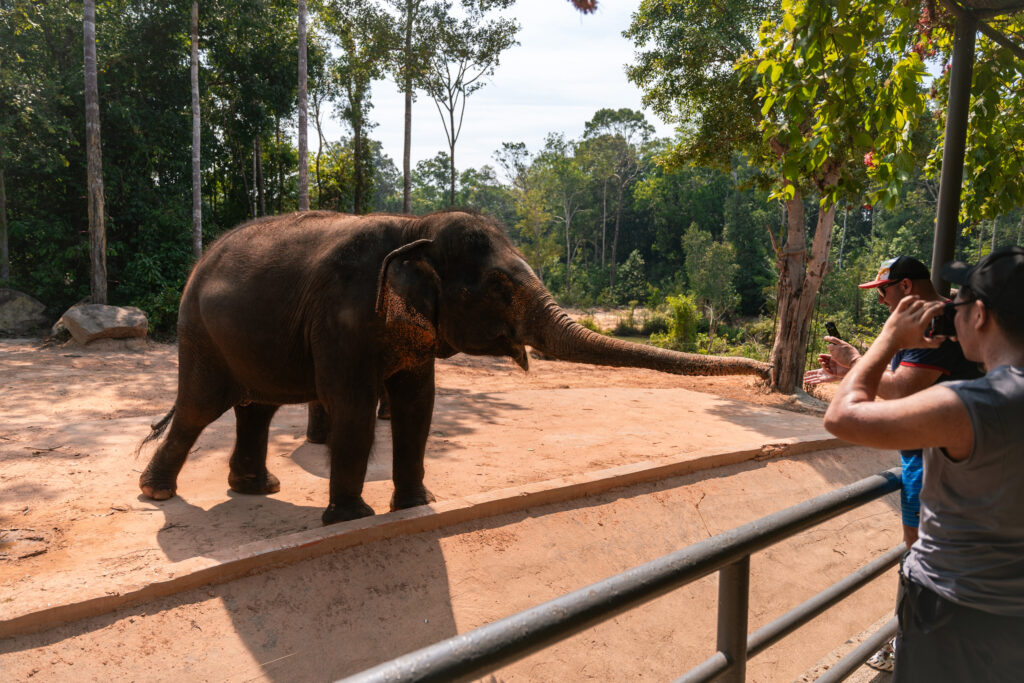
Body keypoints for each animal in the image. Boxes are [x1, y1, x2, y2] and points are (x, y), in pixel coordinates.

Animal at [140, 210, 770, 528]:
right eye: (499, 286)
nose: (764, 373)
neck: (411, 226)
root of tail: (201, 262)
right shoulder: (344, 316)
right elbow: (353, 408)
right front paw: (348, 519)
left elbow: (419, 405)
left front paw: (417, 505)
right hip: (199, 333)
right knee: (200, 407)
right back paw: (157, 494)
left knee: (257, 406)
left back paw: (256, 488)